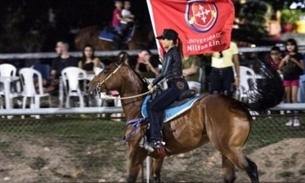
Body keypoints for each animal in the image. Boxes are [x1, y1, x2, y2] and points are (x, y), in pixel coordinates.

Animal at [85, 56, 282, 182]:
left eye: (106, 70)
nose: (88, 86)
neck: (138, 108)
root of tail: (236, 103)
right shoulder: (157, 157)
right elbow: (155, 178)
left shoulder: (135, 153)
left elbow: (130, 178)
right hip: (226, 151)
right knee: (229, 177)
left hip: (231, 149)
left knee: (252, 169)